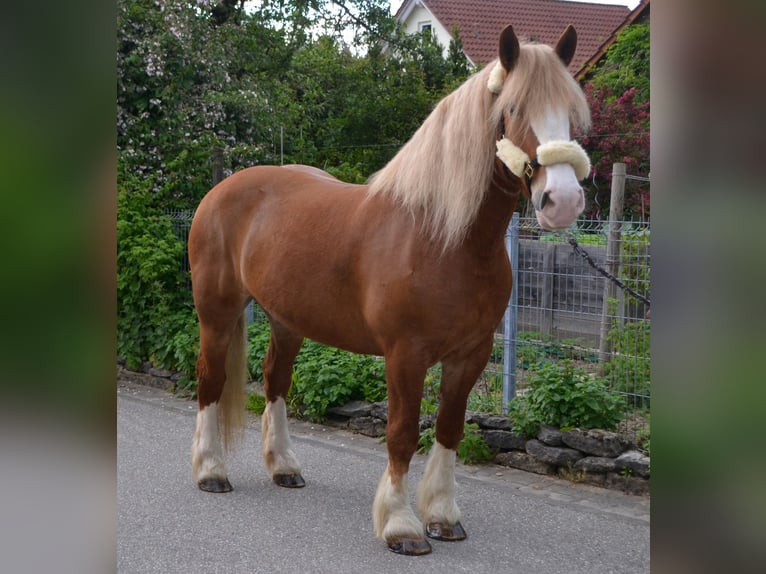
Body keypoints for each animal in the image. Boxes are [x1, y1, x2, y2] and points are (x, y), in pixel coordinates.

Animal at [188, 24, 592, 556]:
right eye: (514, 110)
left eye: (571, 113)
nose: (561, 201)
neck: (444, 239)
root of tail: (221, 190)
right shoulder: (405, 354)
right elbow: (401, 433)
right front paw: (401, 525)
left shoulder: (471, 354)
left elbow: (449, 429)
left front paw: (442, 516)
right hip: (217, 314)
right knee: (211, 381)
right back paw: (211, 471)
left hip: (287, 321)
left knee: (276, 381)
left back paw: (285, 467)